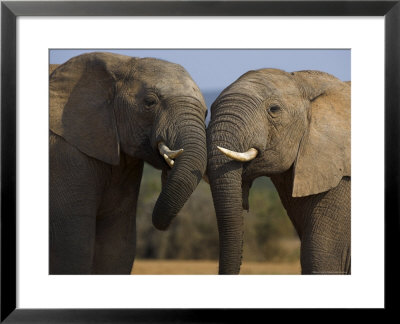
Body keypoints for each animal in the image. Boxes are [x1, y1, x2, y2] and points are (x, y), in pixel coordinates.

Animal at [48, 52, 208, 274]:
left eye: (206, 112)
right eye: (150, 102)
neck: (122, 61)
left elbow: (117, 245)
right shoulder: (65, 155)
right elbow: (73, 248)